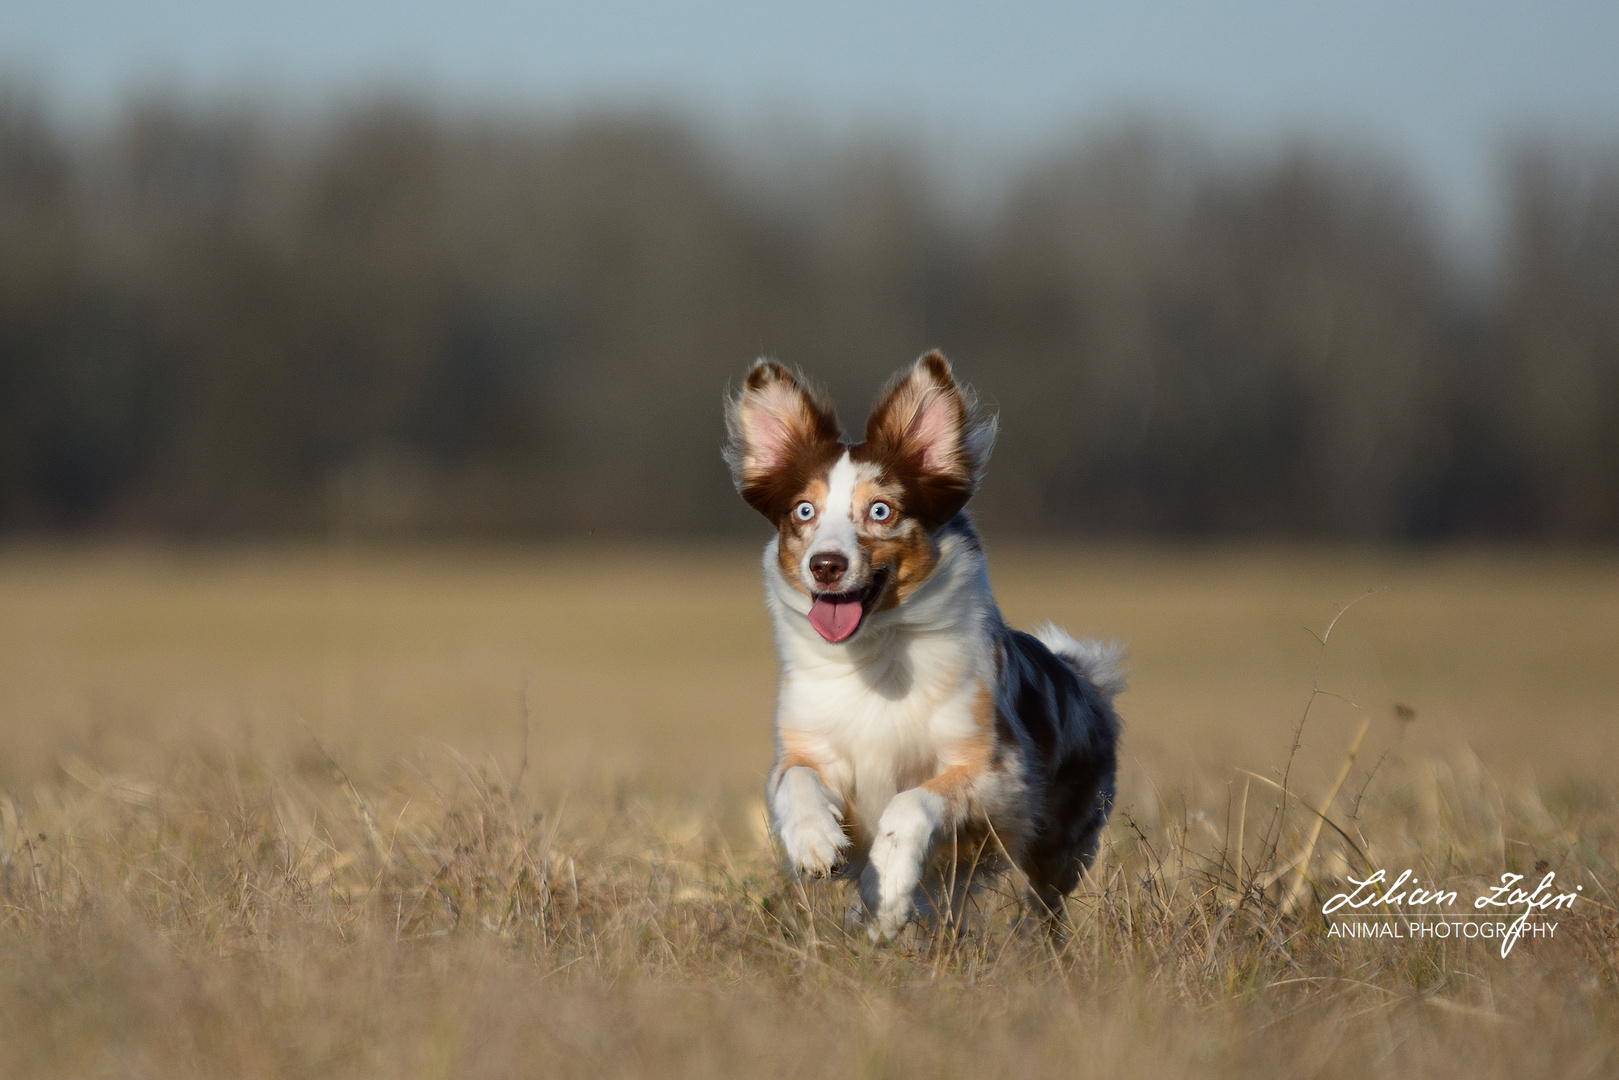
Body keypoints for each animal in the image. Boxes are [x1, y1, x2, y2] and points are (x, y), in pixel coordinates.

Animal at [725, 352, 1120, 939]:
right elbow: (796, 780)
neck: (876, 653)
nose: (826, 565)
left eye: (880, 511)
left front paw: (887, 886)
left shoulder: (996, 772)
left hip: (1061, 846)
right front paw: (816, 842)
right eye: (803, 512)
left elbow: (911, 803)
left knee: (1043, 904)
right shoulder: (807, 744)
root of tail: (1081, 674)